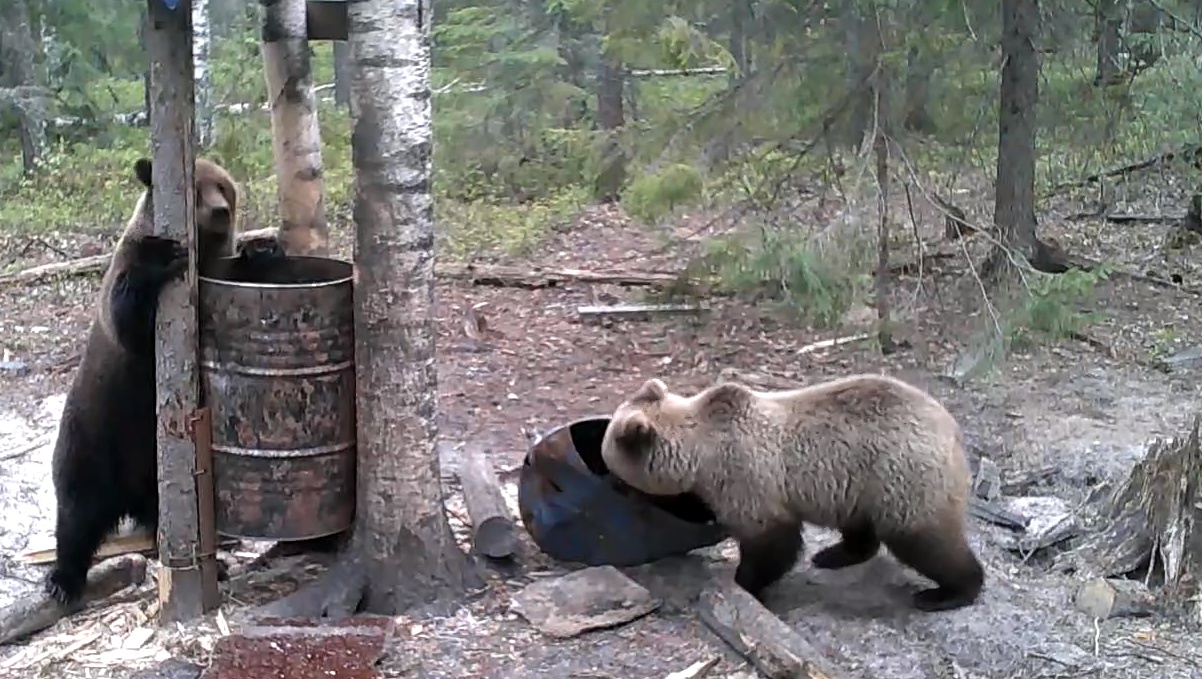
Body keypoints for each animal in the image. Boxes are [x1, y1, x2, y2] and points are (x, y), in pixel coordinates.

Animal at [44, 157, 283, 606]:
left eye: (224, 187)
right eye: (196, 187)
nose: (219, 212)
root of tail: (127, 496)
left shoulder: (213, 282)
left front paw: (265, 250)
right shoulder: (129, 290)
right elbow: (131, 314)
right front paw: (165, 256)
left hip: (160, 467)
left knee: (172, 513)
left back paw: (211, 559)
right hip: (94, 437)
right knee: (76, 513)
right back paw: (63, 580)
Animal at [599, 374, 985, 613]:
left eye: (612, 464)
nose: (610, 482)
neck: (700, 451)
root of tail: (952, 430)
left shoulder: (747, 478)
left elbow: (772, 543)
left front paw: (743, 582)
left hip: (903, 476)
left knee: (925, 540)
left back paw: (947, 592)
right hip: (857, 486)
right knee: (861, 526)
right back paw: (833, 555)